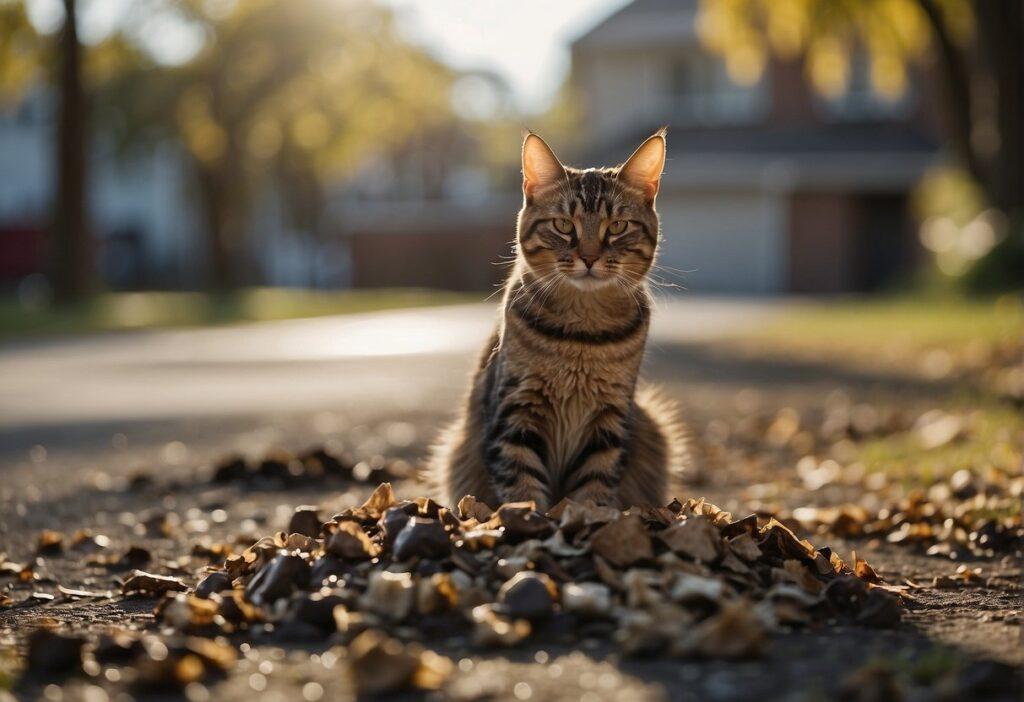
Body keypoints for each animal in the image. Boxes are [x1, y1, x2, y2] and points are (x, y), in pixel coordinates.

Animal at [428, 129, 684, 511]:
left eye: (617, 226)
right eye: (564, 225)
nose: (589, 258)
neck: (582, 335)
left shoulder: (610, 417)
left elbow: (595, 483)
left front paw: (589, 517)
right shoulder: (516, 409)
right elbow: (521, 485)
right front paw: (529, 519)